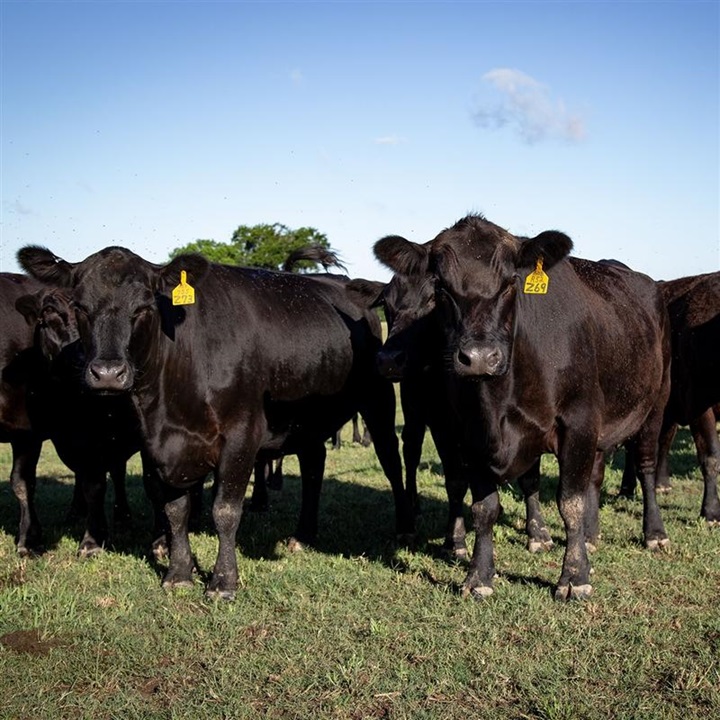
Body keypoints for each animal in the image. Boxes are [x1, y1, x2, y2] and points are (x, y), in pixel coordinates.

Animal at [19, 245, 410, 600]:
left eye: (144, 307)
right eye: (81, 307)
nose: (108, 374)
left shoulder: (242, 435)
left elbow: (224, 510)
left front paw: (223, 582)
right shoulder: (156, 446)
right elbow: (175, 510)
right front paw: (178, 574)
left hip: (378, 400)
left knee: (391, 461)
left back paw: (403, 529)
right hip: (309, 421)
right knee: (314, 468)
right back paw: (303, 535)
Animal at [374, 214, 672, 600]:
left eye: (509, 283)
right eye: (441, 287)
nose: (479, 357)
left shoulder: (578, 422)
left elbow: (569, 502)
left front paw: (574, 576)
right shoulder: (468, 434)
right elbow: (484, 507)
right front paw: (479, 575)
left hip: (655, 404)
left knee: (646, 467)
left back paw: (654, 533)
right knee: (594, 475)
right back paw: (591, 537)